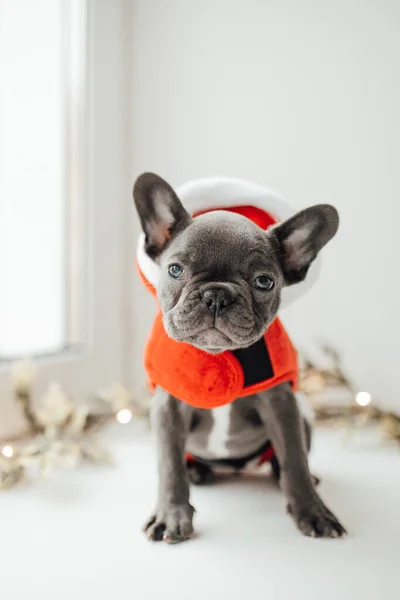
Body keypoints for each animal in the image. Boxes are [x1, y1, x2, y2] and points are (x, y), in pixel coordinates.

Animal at [133, 172, 346, 544]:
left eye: (264, 281)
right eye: (174, 270)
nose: (216, 295)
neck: (218, 355)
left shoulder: (281, 404)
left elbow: (295, 461)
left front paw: (313, 511)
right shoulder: (168, 407)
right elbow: (169, 465)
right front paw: (171, 515)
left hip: (301, 414)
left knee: (288, 460)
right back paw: (197, 470)